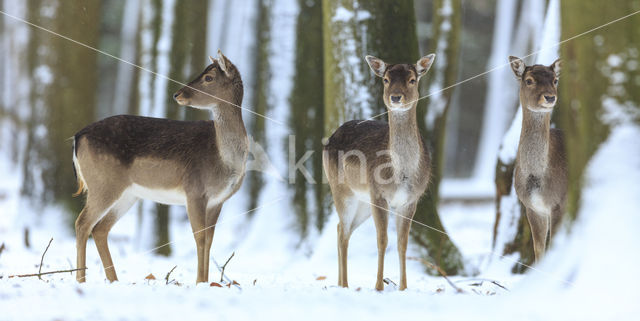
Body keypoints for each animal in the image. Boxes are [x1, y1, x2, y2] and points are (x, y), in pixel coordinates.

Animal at [72, 50, 248, 282]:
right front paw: (200, 282)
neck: (223, 160)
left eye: (208, 77)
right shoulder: (194, 191)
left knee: (100, 228)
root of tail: (77, 137)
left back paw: (113, 280)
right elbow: (199, 238)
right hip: (103, 184)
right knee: (82, 223)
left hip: (127, 194)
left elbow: (209, 240)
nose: (177, 94)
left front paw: (206, 281)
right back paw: (81, 280)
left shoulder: (217, 200)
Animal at [324, 53, 436, 290]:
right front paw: (378, 286)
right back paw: (345, 284)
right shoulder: (378, 194)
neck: (401, 173)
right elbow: (382, 239)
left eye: (412, 79)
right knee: (343, 232)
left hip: (363, 202)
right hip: (341, 190)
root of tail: (330, 136)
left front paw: (403, 288)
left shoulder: (411, 199)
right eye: (385, 79)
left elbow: (403, 243)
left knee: (340, 228)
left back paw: (339, 282)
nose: (395, 97)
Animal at [508, 56, 568, 262]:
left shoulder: (560, 203)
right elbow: (539, 251)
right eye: (529, 80)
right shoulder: (532, 208)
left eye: (555, 80)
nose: (550, 97)